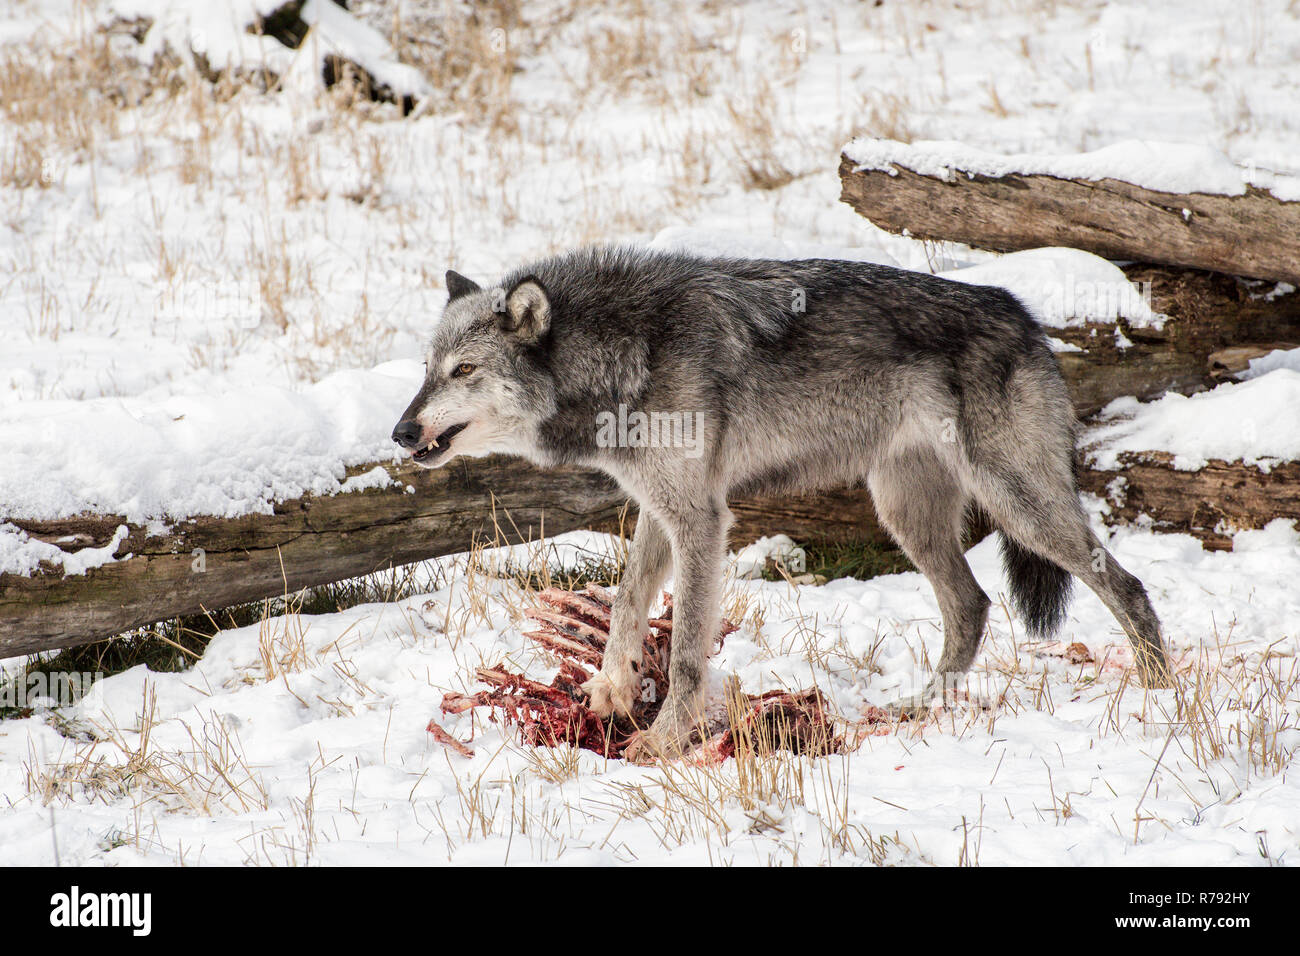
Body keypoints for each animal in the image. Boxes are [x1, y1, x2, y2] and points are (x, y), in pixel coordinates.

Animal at [390, 248, 1175, 764]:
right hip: (908, 513)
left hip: (1017, 506)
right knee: (973, 605)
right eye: (426, 370)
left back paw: (1158, 698)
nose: (399, 431)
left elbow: (686, 652)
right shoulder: (662, 509)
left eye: (465, 370)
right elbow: (626, 603)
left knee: (1126, 584)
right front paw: (609, 692)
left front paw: (662, 740)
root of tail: (1026, 317)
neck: (622, 352)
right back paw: (918, 708)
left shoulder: (701, 518)